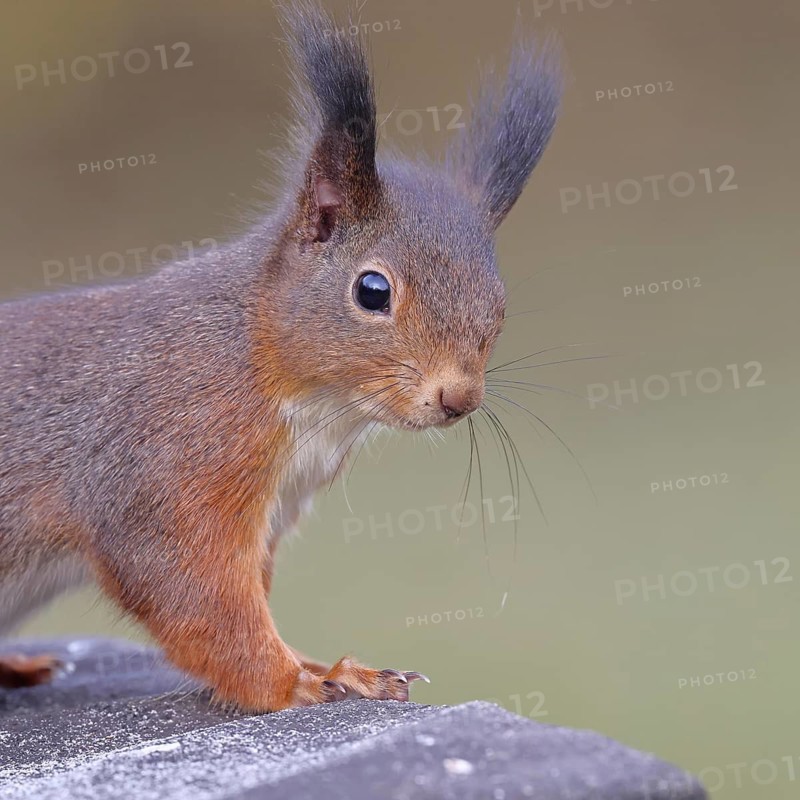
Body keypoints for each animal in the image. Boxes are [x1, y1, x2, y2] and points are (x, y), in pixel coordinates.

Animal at [0, 1, 561, 709]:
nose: (459, 399)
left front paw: (331, 666)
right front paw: (299, 681)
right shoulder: (169, 465)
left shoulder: (272, 511)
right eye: (372, 290)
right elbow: (194, 598)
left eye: (499, 302)